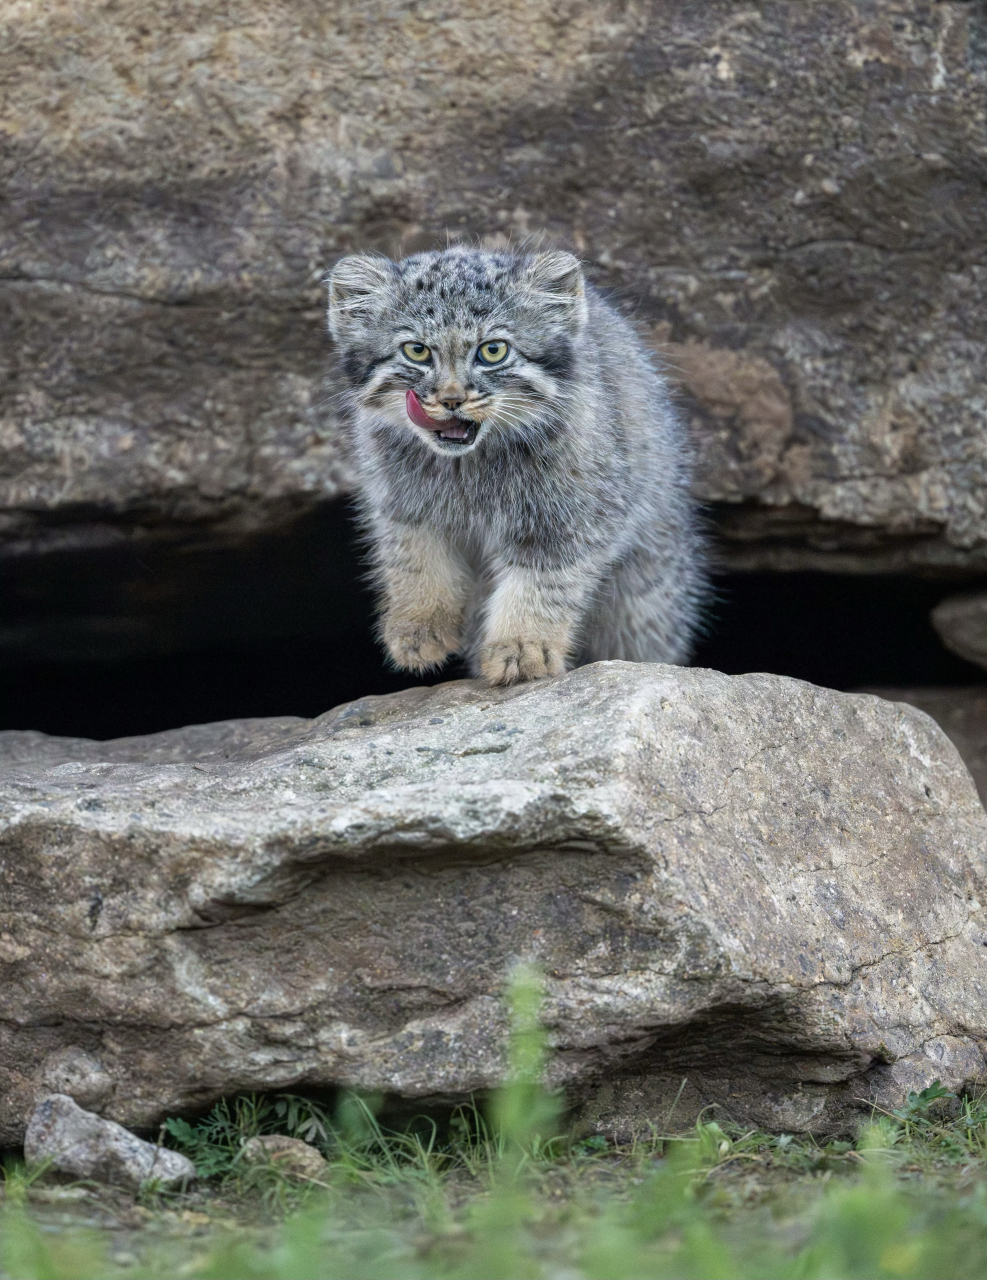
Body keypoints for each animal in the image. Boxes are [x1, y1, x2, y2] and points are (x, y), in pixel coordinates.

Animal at [327, 245, 706, 686]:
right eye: (416, 351)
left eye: (493, 351)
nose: (452, 399)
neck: (467, 467)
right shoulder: (400, 504)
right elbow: (414, 559)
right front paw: (420, 625)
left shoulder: (571, 518)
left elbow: (541, 585)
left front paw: (522, 647)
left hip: (646, 608)